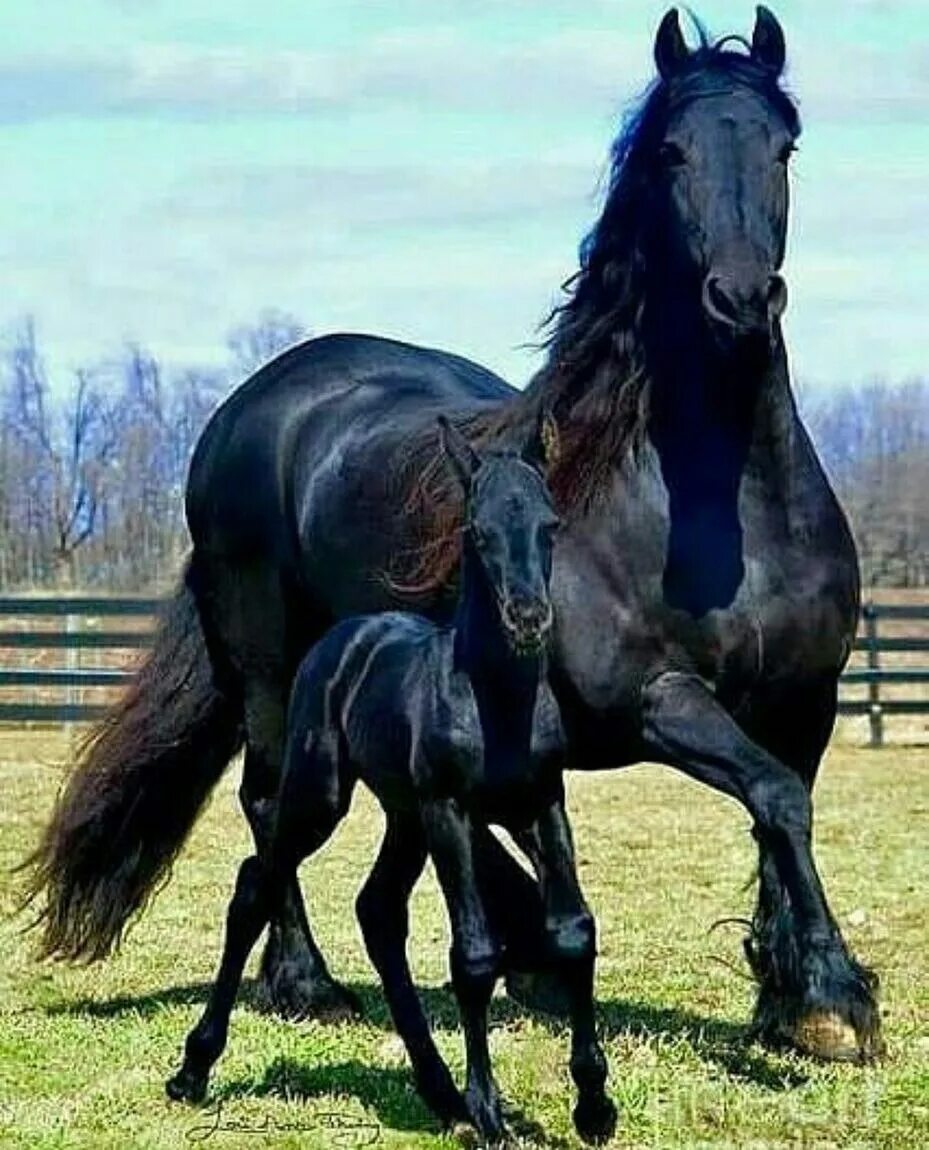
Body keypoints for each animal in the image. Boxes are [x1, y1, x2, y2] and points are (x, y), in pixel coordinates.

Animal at [23, 8, 878, 1062]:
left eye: (781, 147)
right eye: (669, 152)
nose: (741, 300)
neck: (727, 516)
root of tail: (248, 407)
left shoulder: (806, 699)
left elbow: (780, 809)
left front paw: (792, 997)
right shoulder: (653, 699)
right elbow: (774, 798)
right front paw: (833, 997)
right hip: (272, 667)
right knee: (268, 802)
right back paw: (307, 983)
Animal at [166, 418, 616, 1145]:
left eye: (549, 525)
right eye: (477, 532)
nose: (527, 619)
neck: (495, 702)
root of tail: (342, 637)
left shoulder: (543, 804)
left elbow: (574, 931)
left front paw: (594, 1104)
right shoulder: (452, 811)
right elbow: (475, 955)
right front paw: (491, 1114)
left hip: (404, 818)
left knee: (376, 910)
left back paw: (439, 1092)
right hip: (325, 796)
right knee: (255, 886)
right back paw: (192, 1070)